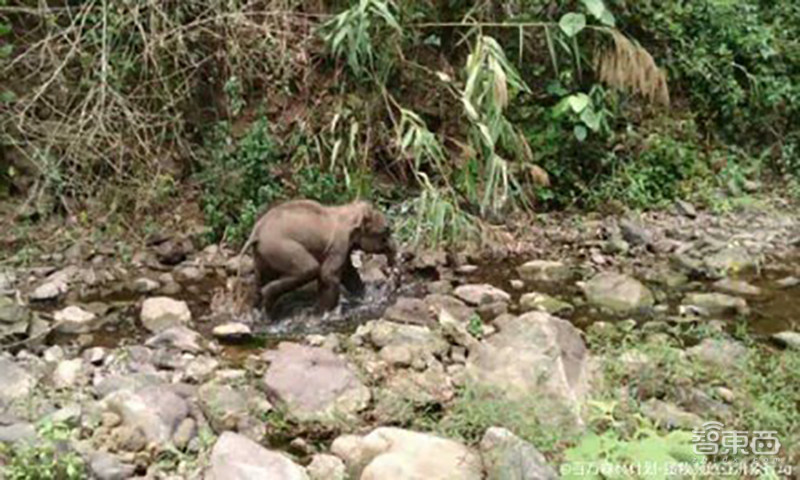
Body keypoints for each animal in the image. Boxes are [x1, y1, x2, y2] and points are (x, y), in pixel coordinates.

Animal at [239, 198, 398, 314]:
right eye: (386, 231)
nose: (392, 265)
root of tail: (255, 232)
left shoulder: (342, 248)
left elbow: (349, 273)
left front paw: (364, 298)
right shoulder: (338, 244)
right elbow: (328, 274)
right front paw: (326, 313)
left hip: (262, 253)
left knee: (261, 278)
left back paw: (260, 310)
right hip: (279, 246)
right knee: (310, 269)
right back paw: (268, 298)